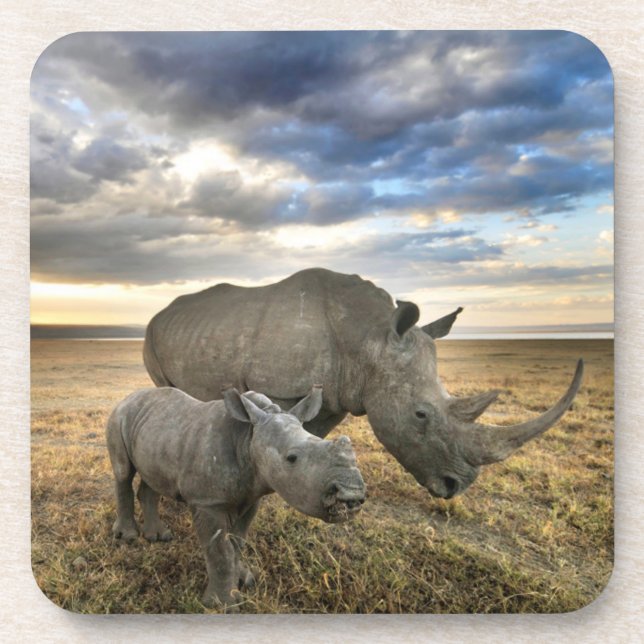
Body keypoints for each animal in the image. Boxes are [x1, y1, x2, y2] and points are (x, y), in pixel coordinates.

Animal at [106, 384, 366, 610]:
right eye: (291, 458)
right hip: (119, 416)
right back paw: (128, 537)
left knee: (152, 478)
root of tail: (129, 397)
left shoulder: (251, 496)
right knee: (123, 472)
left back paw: (159, 537)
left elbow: (237, 541)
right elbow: (220, 550)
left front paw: (244, 581)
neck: (248, 436)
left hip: (156, 430)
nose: (352, 494)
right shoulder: (207, 501)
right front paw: (222, 605)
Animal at [144, 268, 583, 500]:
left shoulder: (338, 393)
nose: (456, 486)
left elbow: (311, 437)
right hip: (152, 334)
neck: (369, 339)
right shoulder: (281, 386)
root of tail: (161, 312)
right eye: (420, 415)